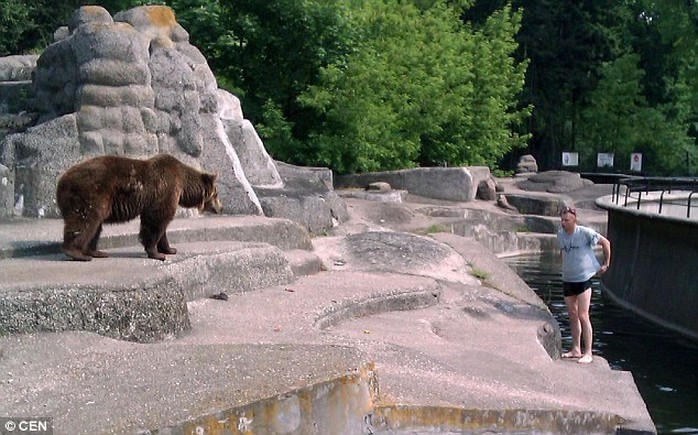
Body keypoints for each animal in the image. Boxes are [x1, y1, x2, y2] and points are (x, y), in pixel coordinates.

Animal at [56, 154, 220, 262]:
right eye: (217, 194)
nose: (221, 208)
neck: (184, 186)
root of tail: (61, 181)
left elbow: (160, 225)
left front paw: (170, 249)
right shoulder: (166, 190)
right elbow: (156, 221)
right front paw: (157, 253)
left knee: (95, 226)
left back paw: (97, 252)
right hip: (90, 193)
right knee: (85, 221)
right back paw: (77, 253)